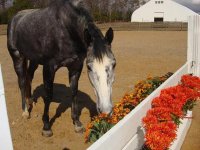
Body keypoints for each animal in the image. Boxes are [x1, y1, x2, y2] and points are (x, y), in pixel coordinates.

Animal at [7, 0, 115, 136]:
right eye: (89, 67)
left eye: (114, 64)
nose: (106, 111)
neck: (66, 30)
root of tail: (15, 18)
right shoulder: (49, 67)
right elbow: (48, 95)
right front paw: (46, 127)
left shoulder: (76, 66)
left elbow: (74, 92)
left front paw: (77, 123)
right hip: (17, 57)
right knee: (21, 82)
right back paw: (25, 111)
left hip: (33, 60)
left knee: (29, 77)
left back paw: (30, 100)